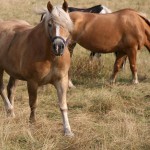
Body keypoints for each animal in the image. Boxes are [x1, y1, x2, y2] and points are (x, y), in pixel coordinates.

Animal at [0, 0, 74, 136]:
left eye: (66, 23)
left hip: (14, 72)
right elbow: (33, 103)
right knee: (2, 88)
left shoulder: (61, 80)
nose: (58, 47)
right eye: (49, 24)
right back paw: (9, 110)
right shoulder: (32, 82)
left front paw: (68, 131)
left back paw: (11, 114)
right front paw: (32, 124)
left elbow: (63, 105)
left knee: (10, 89)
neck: (49, 56)